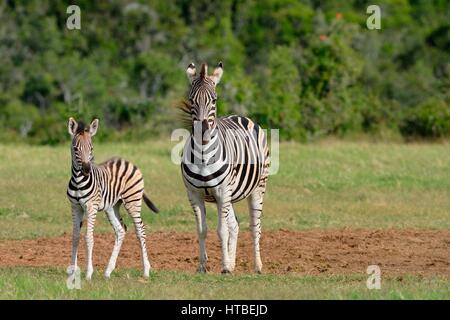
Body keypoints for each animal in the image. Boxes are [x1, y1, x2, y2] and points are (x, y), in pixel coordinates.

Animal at [66, 116, 158, 278]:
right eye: (76, 148)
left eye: (91, 148)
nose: (86, 170)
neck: (78, 181)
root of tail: (128, 161)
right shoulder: (75, 207)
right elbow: (75, 237)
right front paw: (72, 272)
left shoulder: (91, 207)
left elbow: (88, 237)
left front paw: (88, 273)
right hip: (112, 206)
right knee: (121, 230)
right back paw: (108, 271)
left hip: (132, 201)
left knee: (140, 230)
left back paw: (146, 270)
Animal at [180, 63, 270, 276]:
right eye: (191, 100)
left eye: (214, 100)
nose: (203, 131)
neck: (203, 155)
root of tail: (241, 116)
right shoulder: (194, 194)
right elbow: (202, 230)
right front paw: (203, 266)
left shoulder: (221, 192)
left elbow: (222, 231)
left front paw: (225, 267)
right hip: (230, 196)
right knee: (235, 226)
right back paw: (233, 262)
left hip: (258, 188)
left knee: (255, 227)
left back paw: (257, 266)